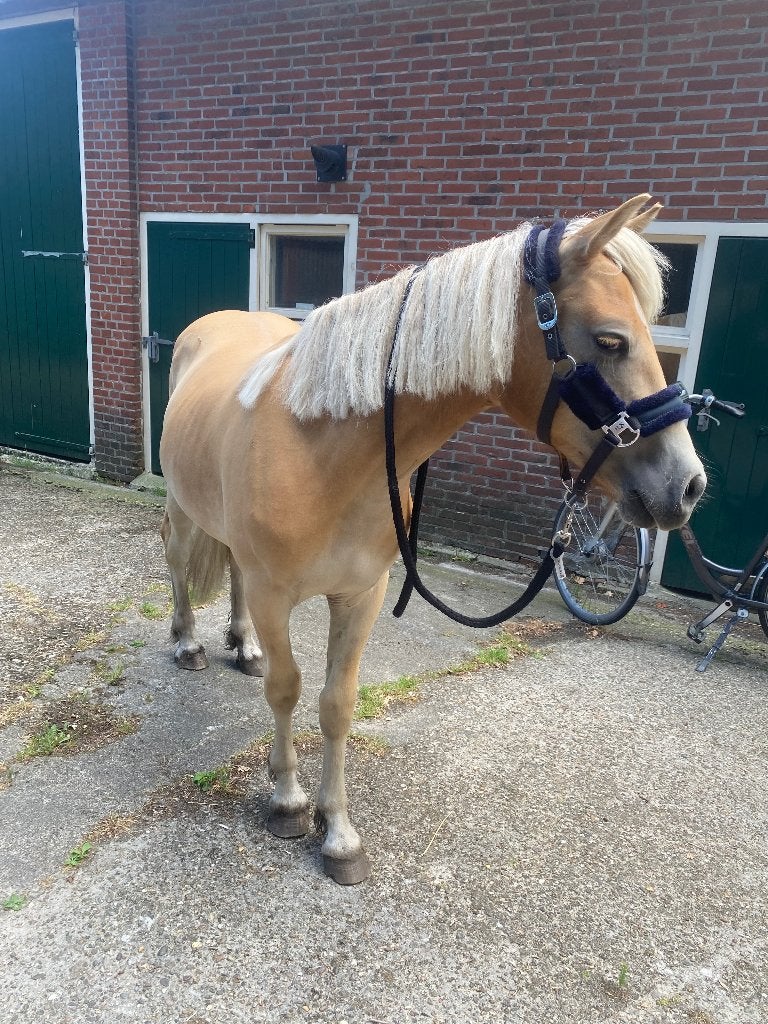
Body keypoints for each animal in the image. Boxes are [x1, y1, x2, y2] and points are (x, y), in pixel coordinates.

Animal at [159, 195, 706, 884]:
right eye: (611, 339)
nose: (688, 485)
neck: (321, 450)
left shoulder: (361, 594)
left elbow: (337, 703)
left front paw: (338, 833)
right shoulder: (274, 591)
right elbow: (287, 690)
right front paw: (287, 801)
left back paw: (243, 645)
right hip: (183, 510)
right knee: (180, 564)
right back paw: (187, 644)